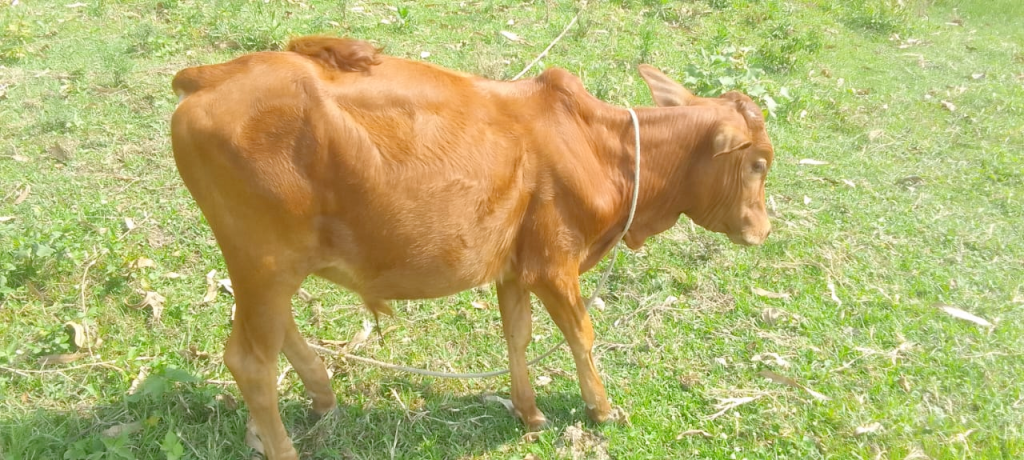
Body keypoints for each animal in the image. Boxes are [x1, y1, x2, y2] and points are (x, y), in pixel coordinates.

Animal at [169, 35, 774, 459]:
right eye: (759, 163)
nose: (762, 230)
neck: (602, 148)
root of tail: (210, 76)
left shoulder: (516, 266)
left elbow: (517, 335)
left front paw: (529, 413)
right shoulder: (555, 263)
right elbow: (581, 335)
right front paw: (601, 409)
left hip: (267, 268)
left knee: (273, 336)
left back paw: (320, 397)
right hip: (263, 261)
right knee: (250, 360)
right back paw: (286, 445)